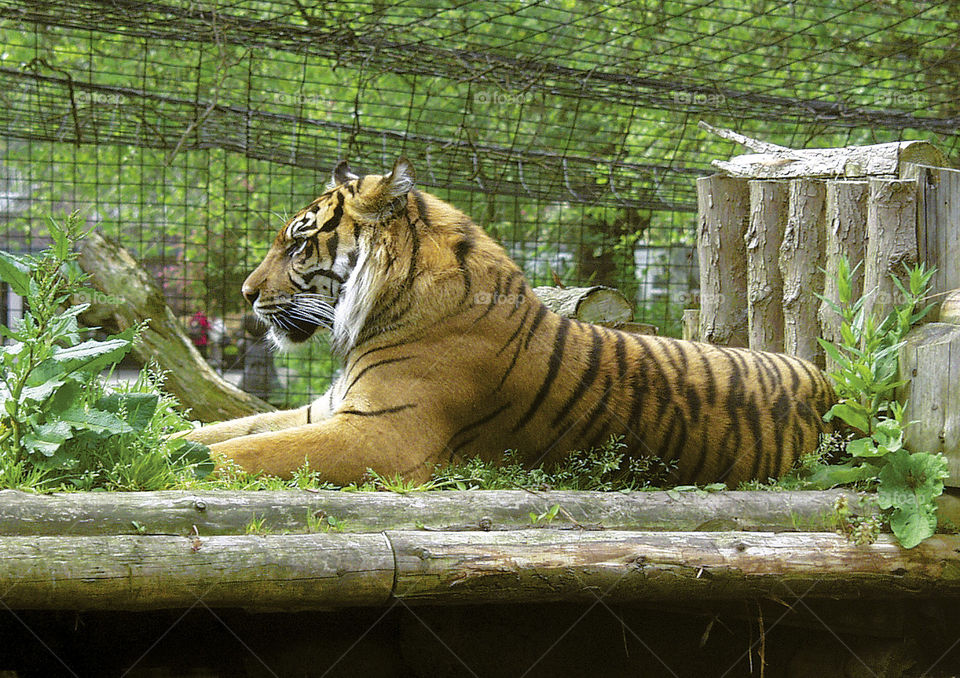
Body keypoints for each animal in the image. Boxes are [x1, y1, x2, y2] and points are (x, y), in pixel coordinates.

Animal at [184, 158, 835, 486]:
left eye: (298, 244)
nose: (245, 294)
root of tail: (828, 382)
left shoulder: (382, 435)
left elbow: (243, 453)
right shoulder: (326, 409)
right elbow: (219, 432)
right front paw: (166, 440)